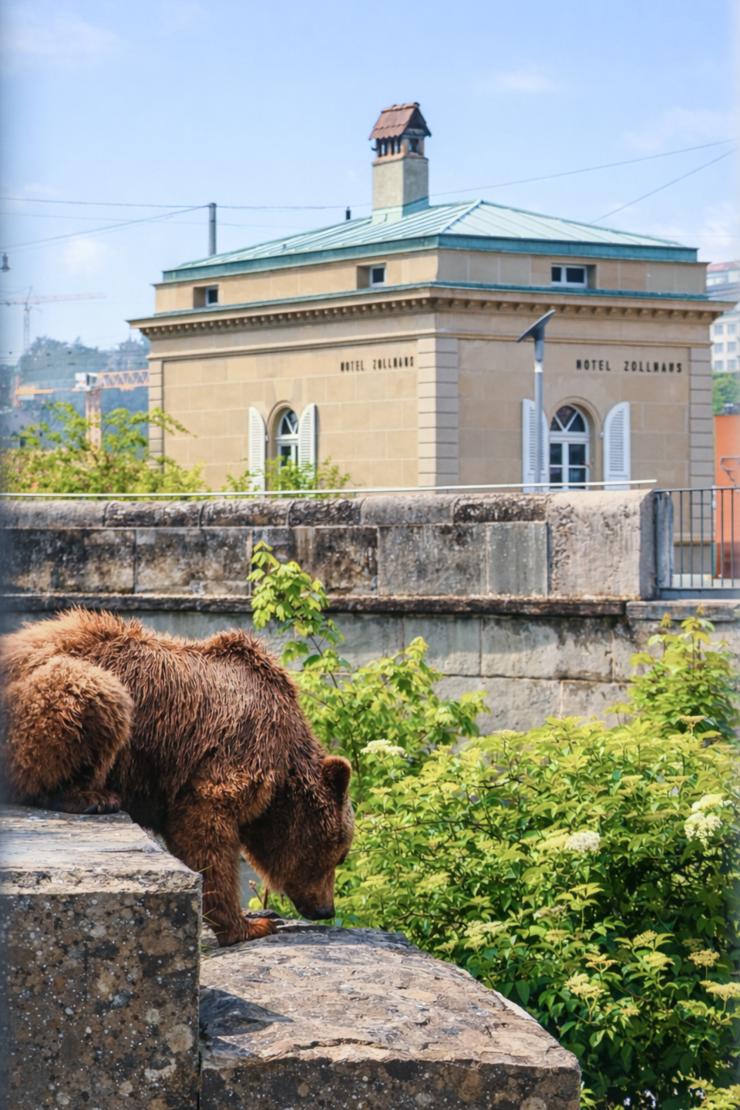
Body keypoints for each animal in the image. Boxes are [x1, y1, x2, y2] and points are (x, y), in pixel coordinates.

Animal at [0, 608, 354, 947]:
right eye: (340, 853)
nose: (325, 909)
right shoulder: (243, 742)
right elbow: (205, 823)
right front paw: (250, 925)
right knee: (94, 690)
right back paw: (89, 796)